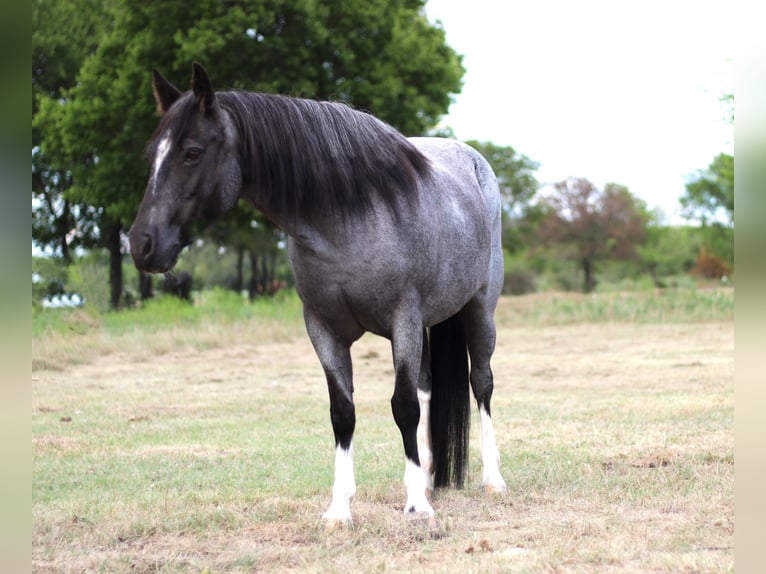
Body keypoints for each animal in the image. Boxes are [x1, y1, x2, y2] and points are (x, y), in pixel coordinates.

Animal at [129, 64, 508, 532]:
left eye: (192, 152)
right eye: (151, 155)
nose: (141, 244)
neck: (351, 217)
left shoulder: (402, 319)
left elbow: (402, 407)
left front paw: (417, 507)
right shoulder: (323, 329)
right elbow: (343, 412)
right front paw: (340, 509)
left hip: (479, 310)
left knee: (481, 383)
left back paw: (492, 480)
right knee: (427, 388)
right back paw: (427, 479)